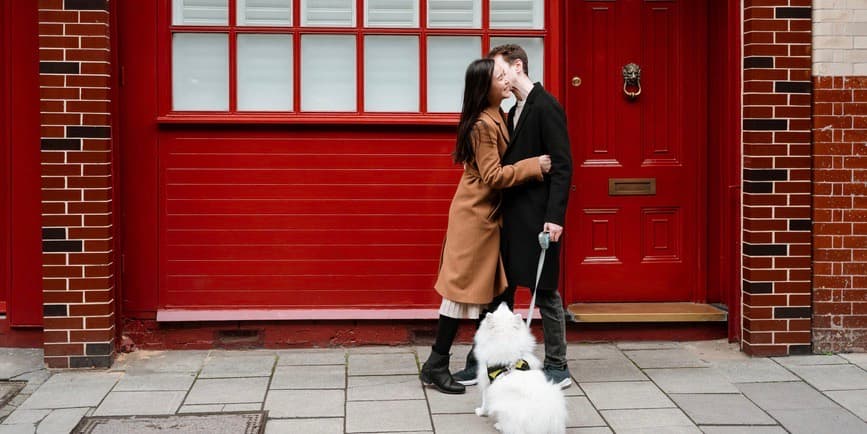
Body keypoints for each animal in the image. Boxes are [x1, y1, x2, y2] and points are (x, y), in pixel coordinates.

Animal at [472, 302, 568, 434]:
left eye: (505, 311)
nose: (503, 302)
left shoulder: (487, 383)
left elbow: (485, 401)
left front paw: (480, 412)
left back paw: (499, 425)